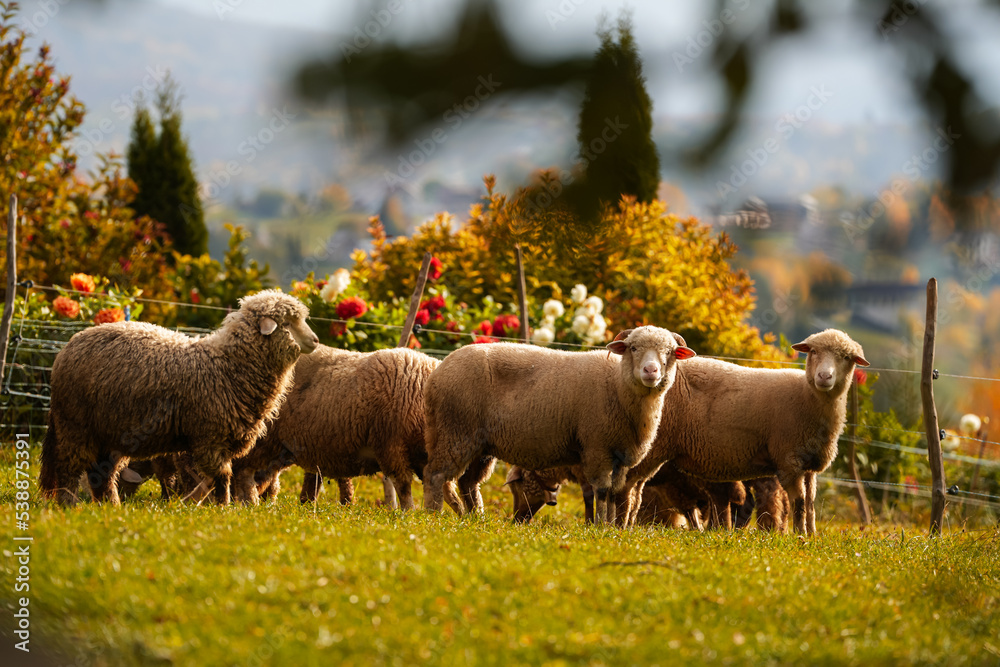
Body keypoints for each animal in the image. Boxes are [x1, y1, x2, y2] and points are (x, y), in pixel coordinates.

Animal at [39, 290, 318, 506]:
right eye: (288, 323)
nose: (315, 340)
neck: (229, 364)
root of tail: (67, 348)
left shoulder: (221, 437)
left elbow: (215, 477)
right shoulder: (210, 437)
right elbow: (222, 476)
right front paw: (223, 507)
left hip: (108, 431)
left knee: (102, 472)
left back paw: (110, 506)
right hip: (76, 425)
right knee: (69, 468)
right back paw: (68, 504)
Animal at [230, 345, 446, 511]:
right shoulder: (391, 447)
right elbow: (404, 486)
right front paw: (410, 513)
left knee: (269, 479)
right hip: (263, 441)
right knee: (243, 472)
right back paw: (247, 503)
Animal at [422, 326, 695, 523]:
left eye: (670, 352)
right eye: (634, 348)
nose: (651, 371)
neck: (618, 385)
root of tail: (437, 372)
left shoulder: (619, 455)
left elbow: (615, 494)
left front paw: (610, 527)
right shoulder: (597, 448)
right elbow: (602, 491)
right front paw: (600, 527)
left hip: (478, 443)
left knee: (468, 483)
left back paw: (475, 517)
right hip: (455, 429)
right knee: (435, 475)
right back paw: (433, 515)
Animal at [616, 329, 868, 534]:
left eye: (847, 358)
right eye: (813, 351)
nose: (824, 377)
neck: (806, 396)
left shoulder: (809, 466)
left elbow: (811, 504)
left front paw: (812, 535)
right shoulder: (789, 461)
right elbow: (799, 504)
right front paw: (799, 537)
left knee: (637, 485)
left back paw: (627, 523)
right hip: (651, 445)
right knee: (629, 483)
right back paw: (621, 523)